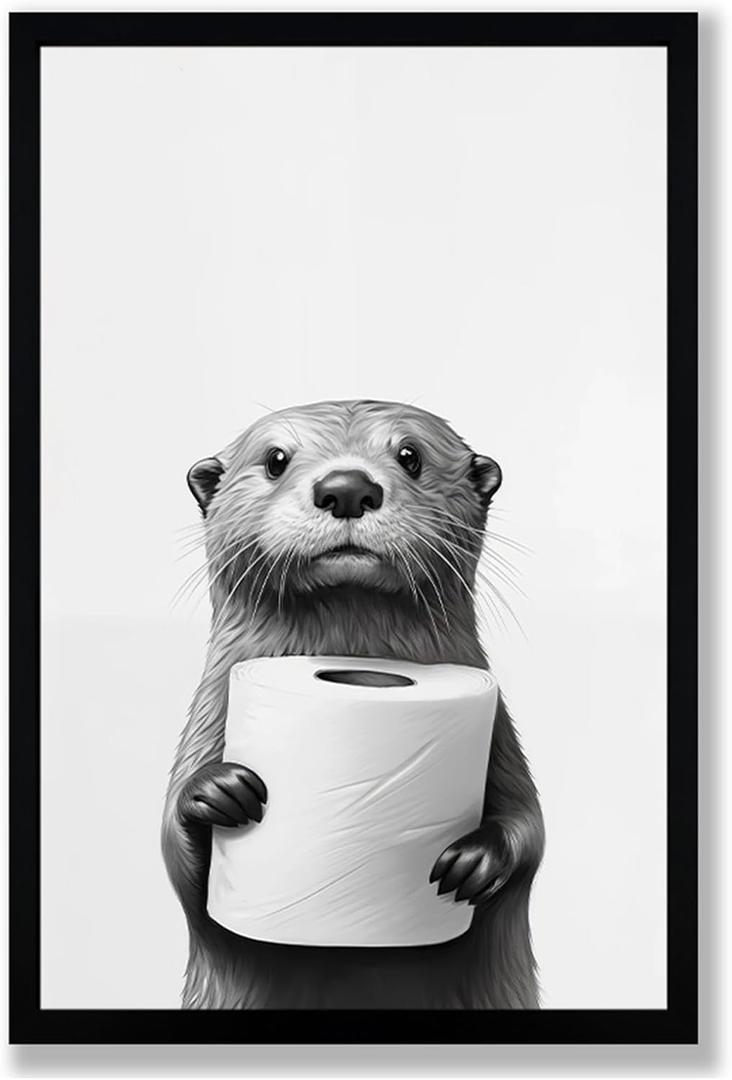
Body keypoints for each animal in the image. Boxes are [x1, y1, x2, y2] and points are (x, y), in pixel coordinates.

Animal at [162, 399, 544, 1009]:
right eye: (275, 459)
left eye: (410, 455)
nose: (346, 487)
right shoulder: (207, 718)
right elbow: (178, 860)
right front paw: (216, 791)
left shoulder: (500, 736)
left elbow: (531, 829)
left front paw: (477, 860)